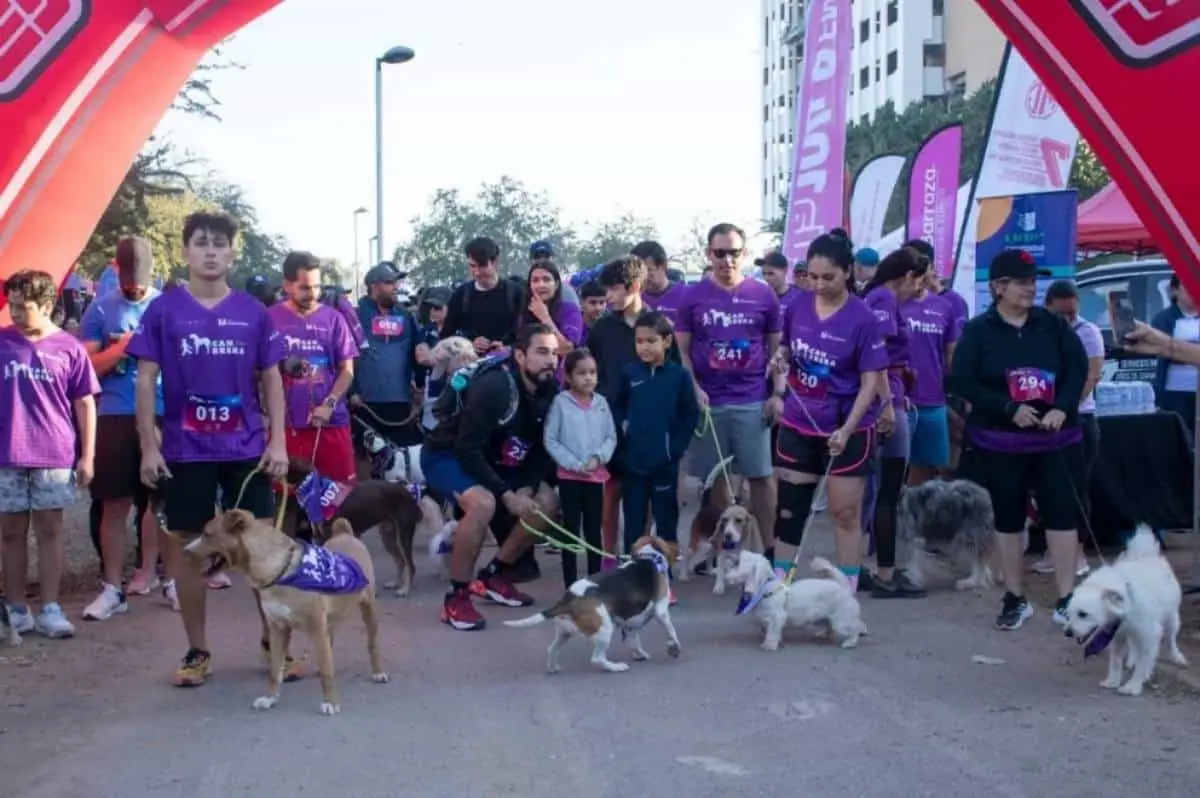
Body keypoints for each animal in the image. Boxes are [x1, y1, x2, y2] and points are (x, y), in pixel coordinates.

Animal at [186, 511, 388, 715]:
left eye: (207, 534)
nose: (185, 551)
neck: (279, 572)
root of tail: (344, 534)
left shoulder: (316, 627)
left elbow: (327, 671)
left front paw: (330, 702)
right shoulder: (278, 629)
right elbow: (275, 671)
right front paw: (270, 698)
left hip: (368, 609)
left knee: (372, 644)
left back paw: (378, 672)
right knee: (329, 644)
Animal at [501, 535, 681, 672]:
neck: (650, 556)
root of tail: (570, 597)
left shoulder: (632, 622)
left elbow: (634, 640)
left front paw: (640, 654)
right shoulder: (661, 611)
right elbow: (671, 631)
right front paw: (675, 647)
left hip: (564, 631)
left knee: (552, 648)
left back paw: (553, 668)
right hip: (604, 628)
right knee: (597, 658)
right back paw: (616, 667)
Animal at [720, 552, 864, 652]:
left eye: (737, 563)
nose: (728, 557)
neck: (765, 588)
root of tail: (844, 587)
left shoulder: (777, 617)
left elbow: (772, 632)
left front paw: (769, 645)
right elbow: (772, 630)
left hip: (842, 620)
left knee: (856, 627)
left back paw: (850, 642)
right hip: (828, 618)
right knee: (830, 625)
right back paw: (823, 634)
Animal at [1065, 525, 1185, 696]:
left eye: (1083, 614)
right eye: (1068, 614)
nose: (1067, 632)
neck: (1127, 600)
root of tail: (1146, 554)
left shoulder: (1149, 635)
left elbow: (1143, 663)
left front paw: (1133, 686)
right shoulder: (1118, 636)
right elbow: (1115, 662)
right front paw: (1112, 681)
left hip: (1171, 621)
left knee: (1171, 640)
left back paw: (1177, 657)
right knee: (1134, 644)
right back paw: (1131, 660)